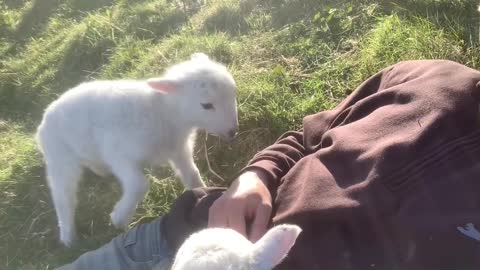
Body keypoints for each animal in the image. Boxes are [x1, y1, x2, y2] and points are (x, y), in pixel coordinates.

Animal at [35, 52, 238, 247]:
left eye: (233, 93)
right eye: (206, 105)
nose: (233, 132)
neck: (165, 112)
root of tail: (44, 119)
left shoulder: (179, 149)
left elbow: (191, 174)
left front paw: (202, 191)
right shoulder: (119, 154)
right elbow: (140, 185)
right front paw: (119, 217)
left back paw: (100, 170)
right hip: (60, 158)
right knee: (63, 197)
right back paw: (68, 236)